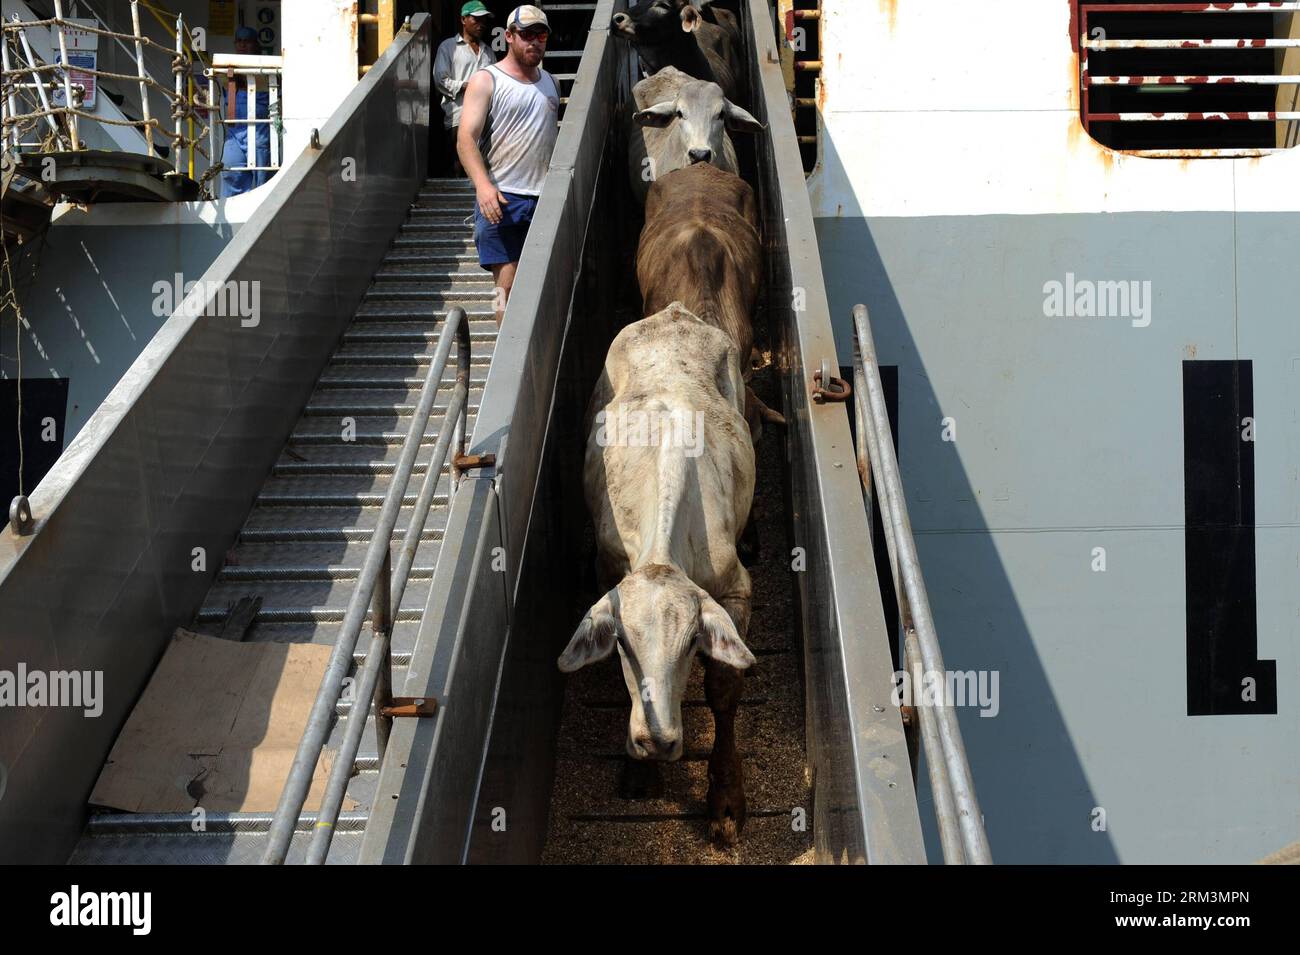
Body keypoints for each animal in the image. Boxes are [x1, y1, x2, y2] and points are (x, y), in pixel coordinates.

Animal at [561, 300, 759, 841]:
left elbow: (723, 693)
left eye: (692, 644)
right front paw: (639, 769)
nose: (659, 740)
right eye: (622, 645)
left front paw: (726, 798)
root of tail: (675, 312)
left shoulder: (736, 592)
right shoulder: (608, 572)